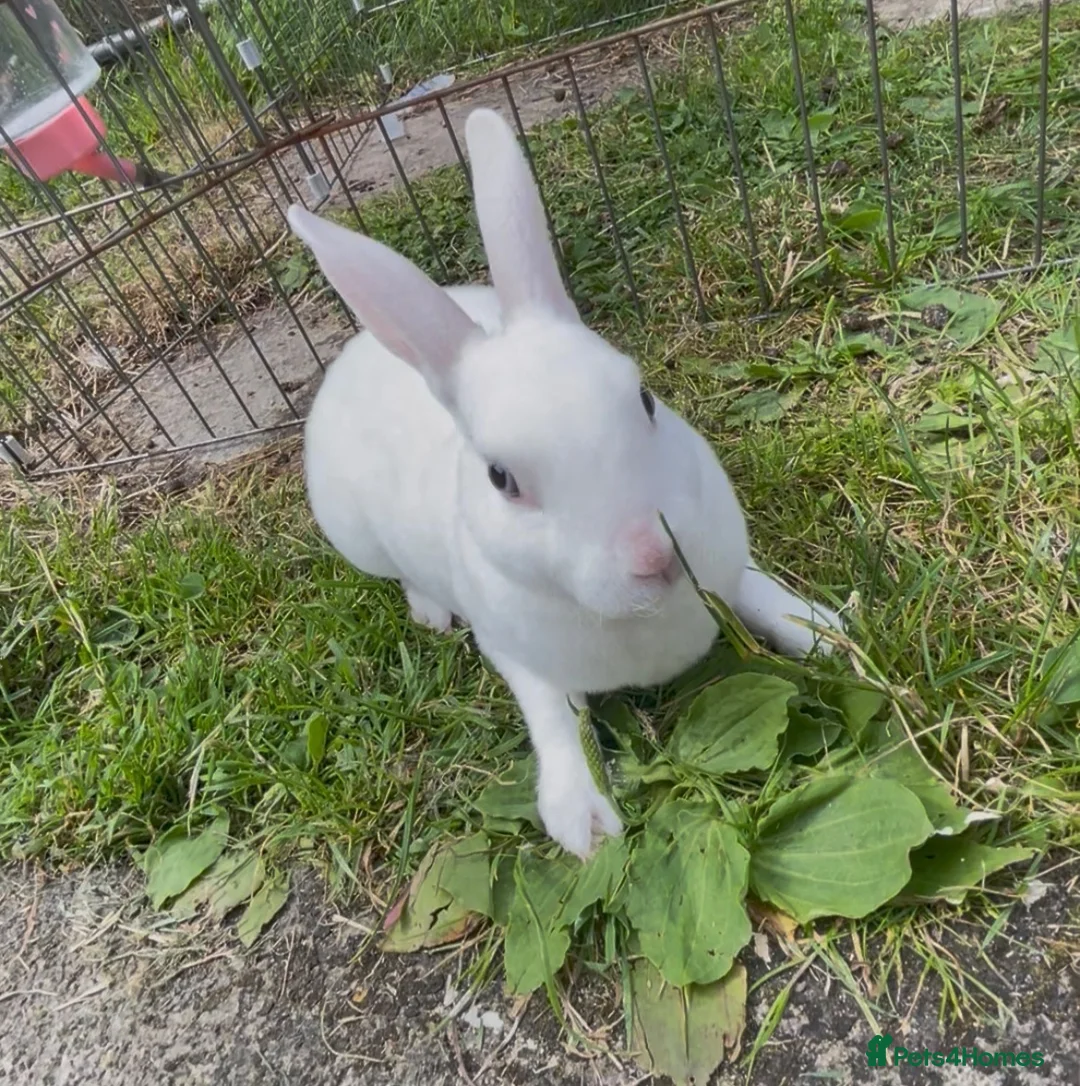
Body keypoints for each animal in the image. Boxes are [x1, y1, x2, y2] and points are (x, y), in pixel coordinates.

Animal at [287, 107, 844, 861]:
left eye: (644, 399)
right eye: (501, 478)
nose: (654, 555)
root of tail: (356, 350)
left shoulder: (727, 569)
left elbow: (761, 594)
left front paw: (826, 633)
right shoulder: (520, 656)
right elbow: (553, 719)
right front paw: (584, 821)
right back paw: (430, 611)